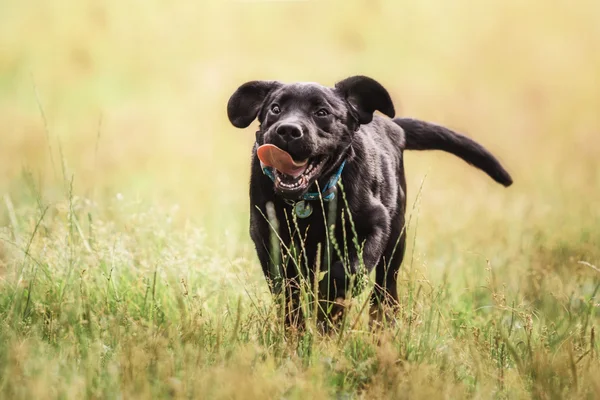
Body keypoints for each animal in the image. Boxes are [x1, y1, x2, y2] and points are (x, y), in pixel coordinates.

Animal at [225, 76, 510, 328]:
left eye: (322, 112)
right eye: (275, 109)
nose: (287, 130)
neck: (311, 198)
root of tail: (393, 128)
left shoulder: (375, 226)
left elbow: (347, 271)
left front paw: (328, 305)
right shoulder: (267, 237)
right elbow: (287, 292)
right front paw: (296, 332)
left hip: (396, 241)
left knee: (385, 291)